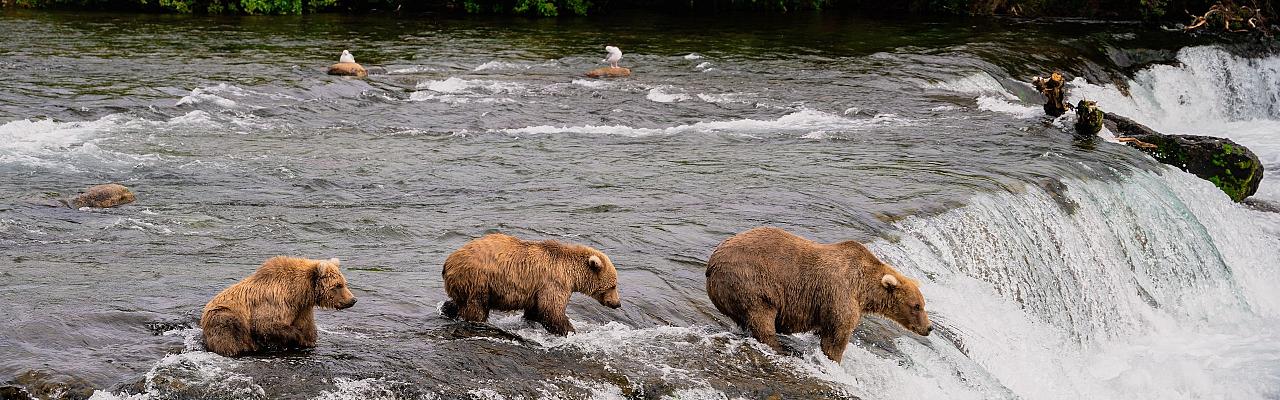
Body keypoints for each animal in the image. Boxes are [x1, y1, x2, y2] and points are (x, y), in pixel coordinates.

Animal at [200, 256, 358, 356]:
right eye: (338, 285)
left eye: (344, 283)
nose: (353, 299)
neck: (300, 292)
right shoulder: (276, 301)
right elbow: (266, 324)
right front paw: (297, 337)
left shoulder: (302, 308)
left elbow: (307, 328)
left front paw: (307, 341)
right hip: (224, 315)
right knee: (229, 330)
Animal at [440, 233, 619, 335]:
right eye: (613, 285)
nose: (617, 303)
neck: (571, 273)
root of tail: (448, 261)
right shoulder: (554, 282)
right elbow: (551, 310)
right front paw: (570, 331)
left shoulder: (537, 289)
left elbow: (535, 310)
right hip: (478, 280)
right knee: (476, 307)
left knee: (459, 302)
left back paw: (447, 310)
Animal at [711, 228, 931, 361]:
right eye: (916, 306)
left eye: (922, 304)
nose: (929, 328)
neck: (864, 289)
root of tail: (711, 264)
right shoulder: (840, 295)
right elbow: (836, 337)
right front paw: (834, 359)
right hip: (751, 283)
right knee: (761, 318)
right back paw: (779, 348)